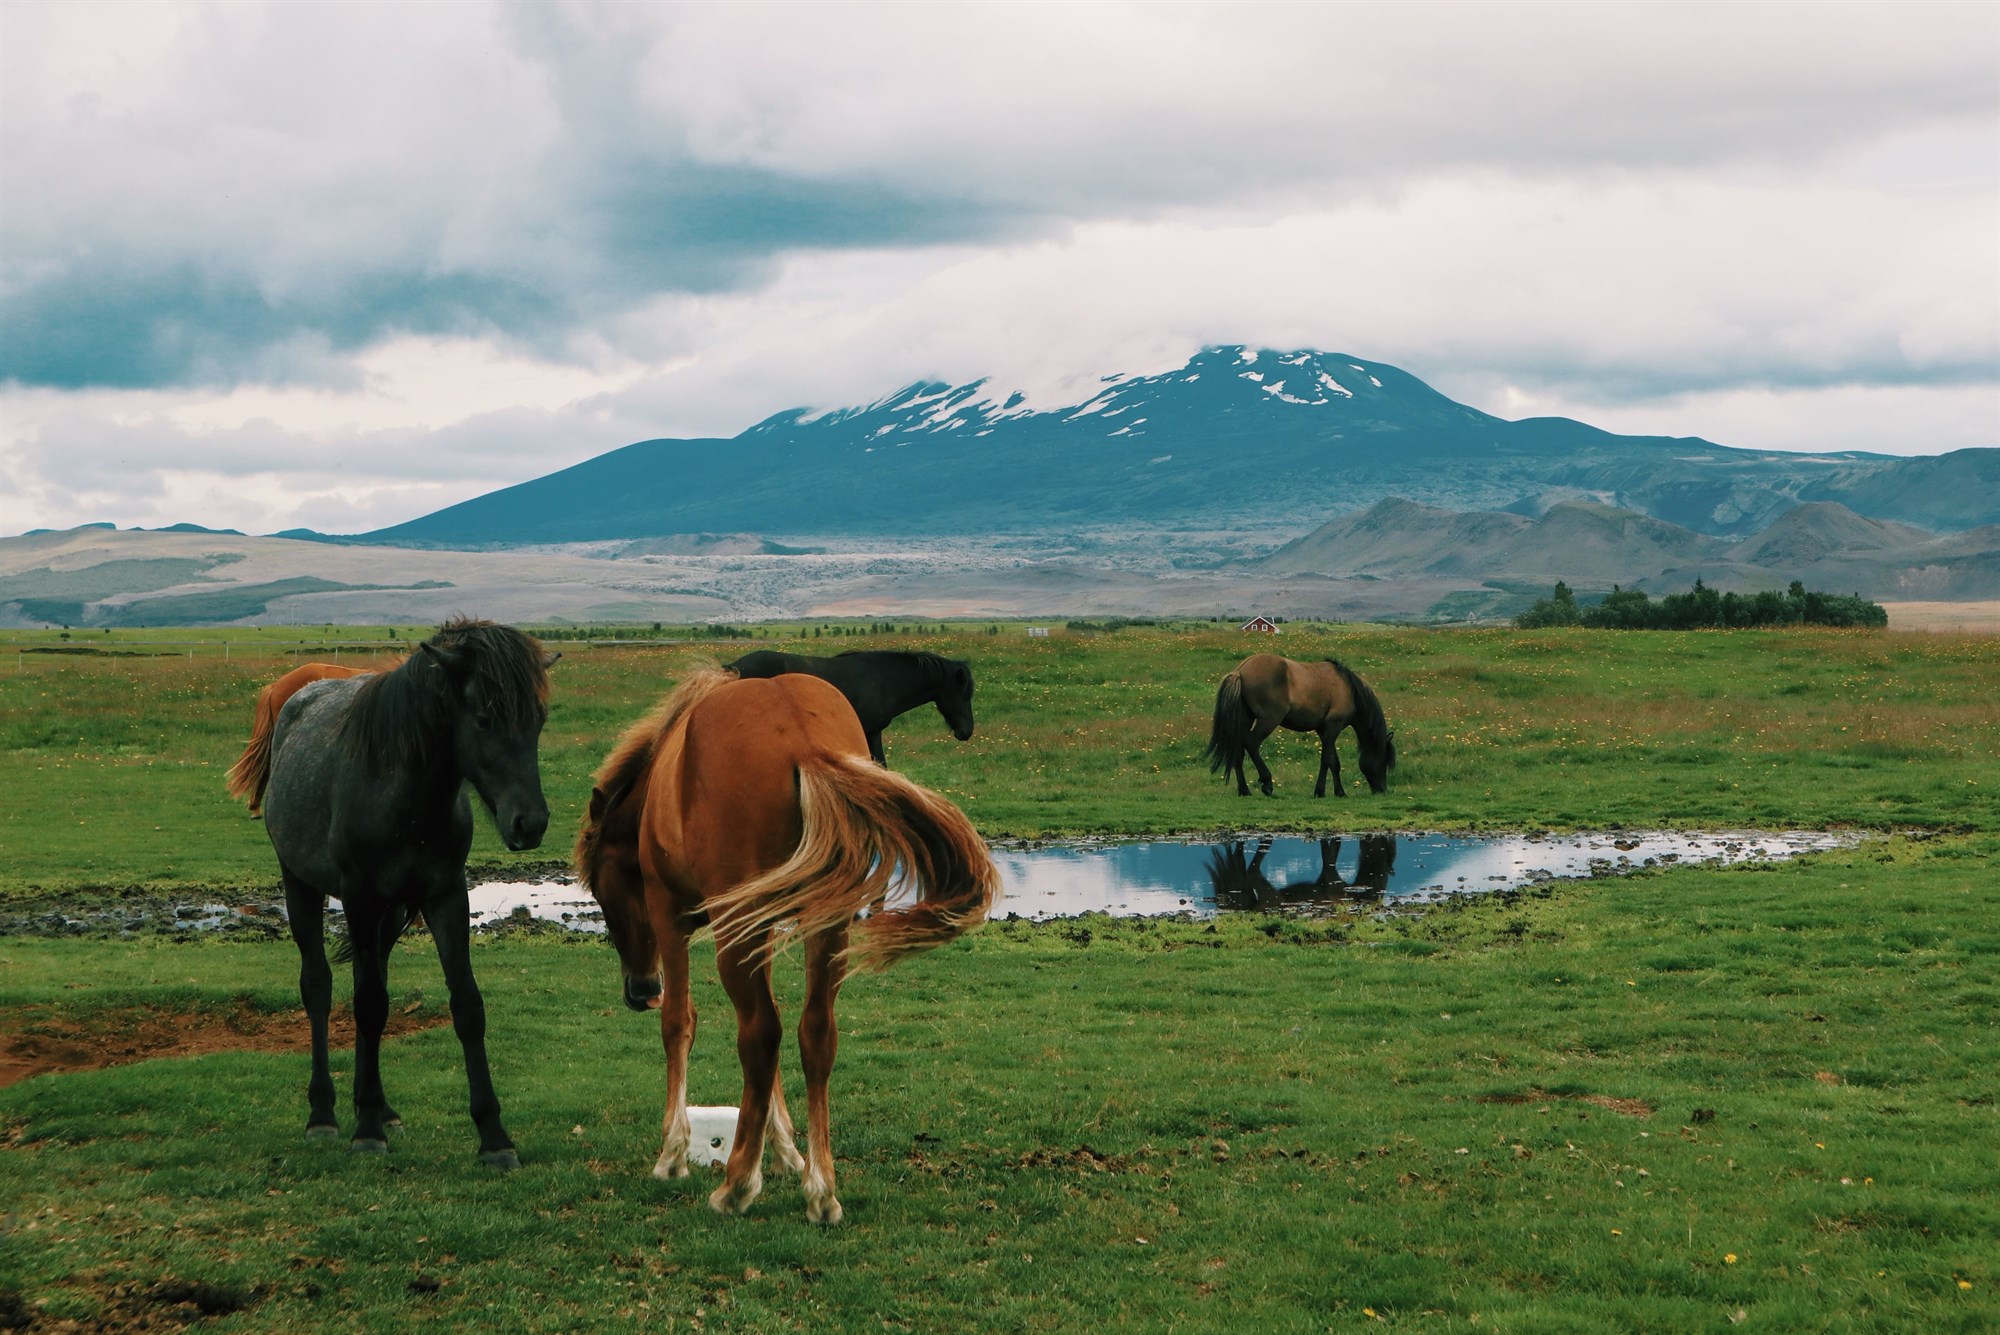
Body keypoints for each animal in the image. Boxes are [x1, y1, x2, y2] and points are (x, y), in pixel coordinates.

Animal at [576, 671, 996, 1223]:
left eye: (601, 890)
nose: (639, 990)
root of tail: (805, 744)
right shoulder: (766, 926)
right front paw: (785, 1152)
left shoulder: (672, 918)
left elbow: (680, 1023)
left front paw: (673, 1154)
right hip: (828, 929)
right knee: (814, 1033)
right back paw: (821, 1189)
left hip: (735, 930)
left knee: (760, 1034)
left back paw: (735, 1187)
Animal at [1200, 651, 1392, 799]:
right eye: (1384, 760)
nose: (1382, 790)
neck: (1349, 689)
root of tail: (1240, 671)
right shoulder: (1333, 728)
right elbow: (1326, 761)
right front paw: (1320, 791)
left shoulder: (1325, 731)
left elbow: (1334, 762)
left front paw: (1339, 792)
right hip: (1268, 720)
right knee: (1251, 743)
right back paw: (1267, 783)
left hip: (1246, 719)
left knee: (1238, 750)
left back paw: (1244, 790)